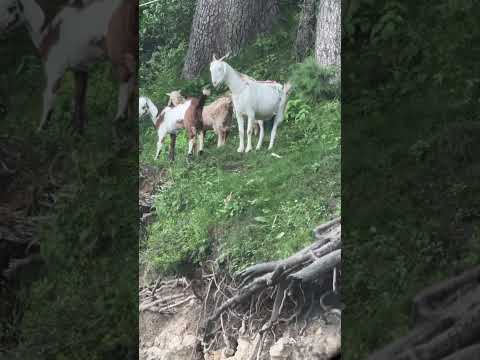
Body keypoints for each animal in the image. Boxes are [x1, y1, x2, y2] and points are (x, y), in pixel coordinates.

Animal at [0, 0, 137, 132]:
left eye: (12, 7)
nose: (1, 27)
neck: (47, 26)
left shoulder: (54, 67)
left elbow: (48, 96)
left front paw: (41, 129)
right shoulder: (80, 67)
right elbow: (79, 97)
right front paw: (77, 131)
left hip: (118, 50)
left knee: (126, 77)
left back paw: (120, 119)